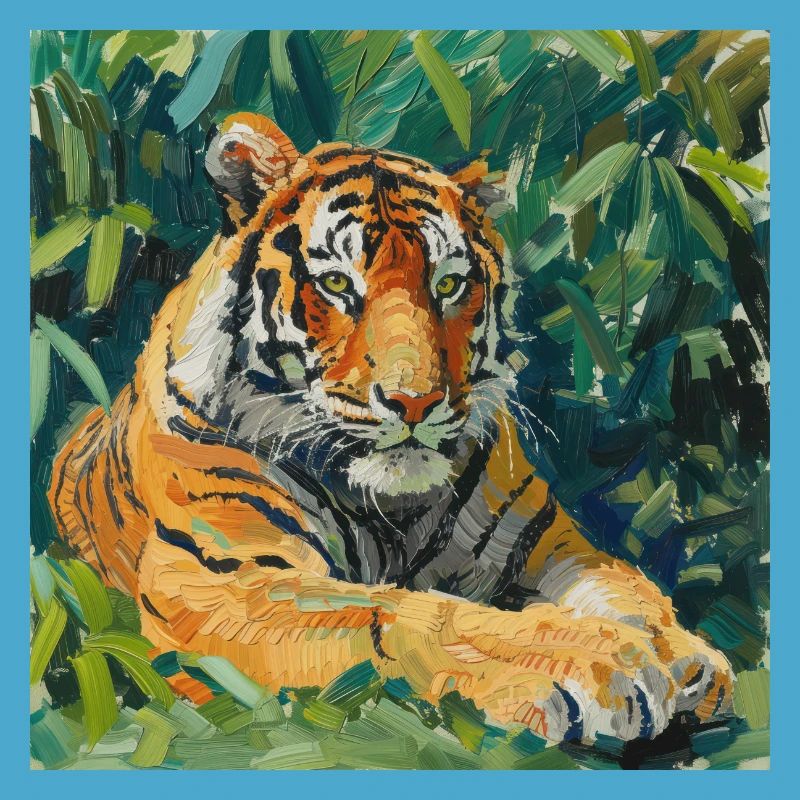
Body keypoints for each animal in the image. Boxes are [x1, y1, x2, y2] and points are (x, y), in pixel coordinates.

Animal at [49, 112, 733, 745]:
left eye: (449, 284)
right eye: (335, 284)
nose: (416, 401)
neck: (388, 511)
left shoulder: (553, 545)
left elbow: (626, 588)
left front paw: (684, 658)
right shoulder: (221, 577)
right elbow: (401, 611)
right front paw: (597, 663)